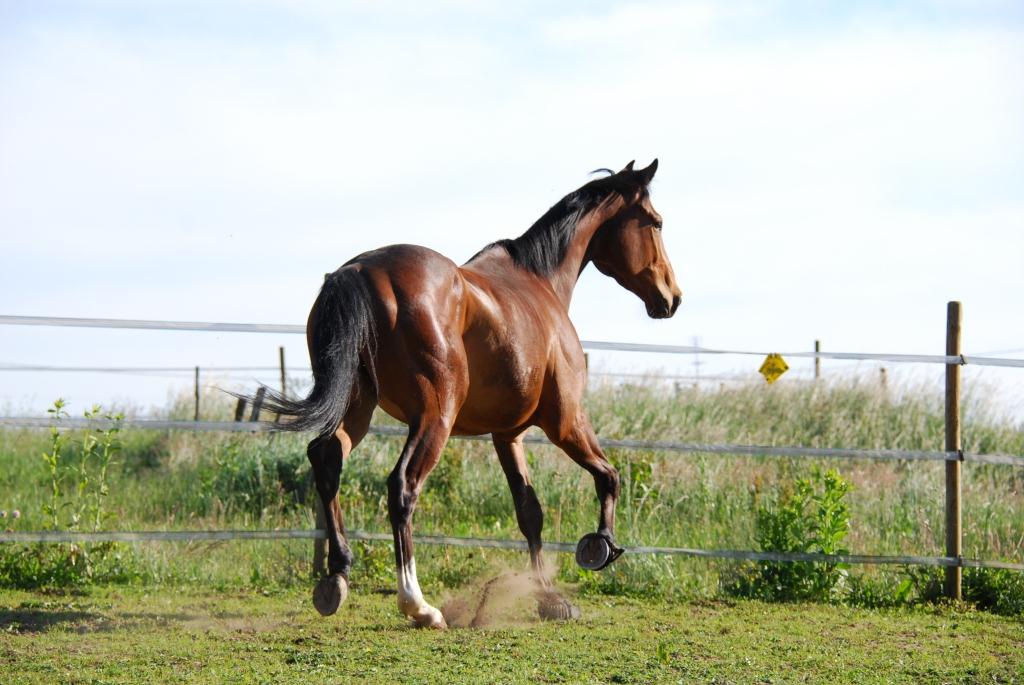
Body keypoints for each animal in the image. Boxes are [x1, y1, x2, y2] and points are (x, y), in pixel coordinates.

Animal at [250, 158, 679, 626]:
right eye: (656, 222)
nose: (672, 297)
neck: (541, 284)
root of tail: (359, 272)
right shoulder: (565, 421)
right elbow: (609, 476)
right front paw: (600, 548)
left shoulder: (508, 435)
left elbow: (530, 511)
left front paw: (548, 597)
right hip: (436, 415)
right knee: (402, 486)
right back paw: (418, 604)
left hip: (358, 406)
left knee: (327, 458)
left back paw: (336, 579)